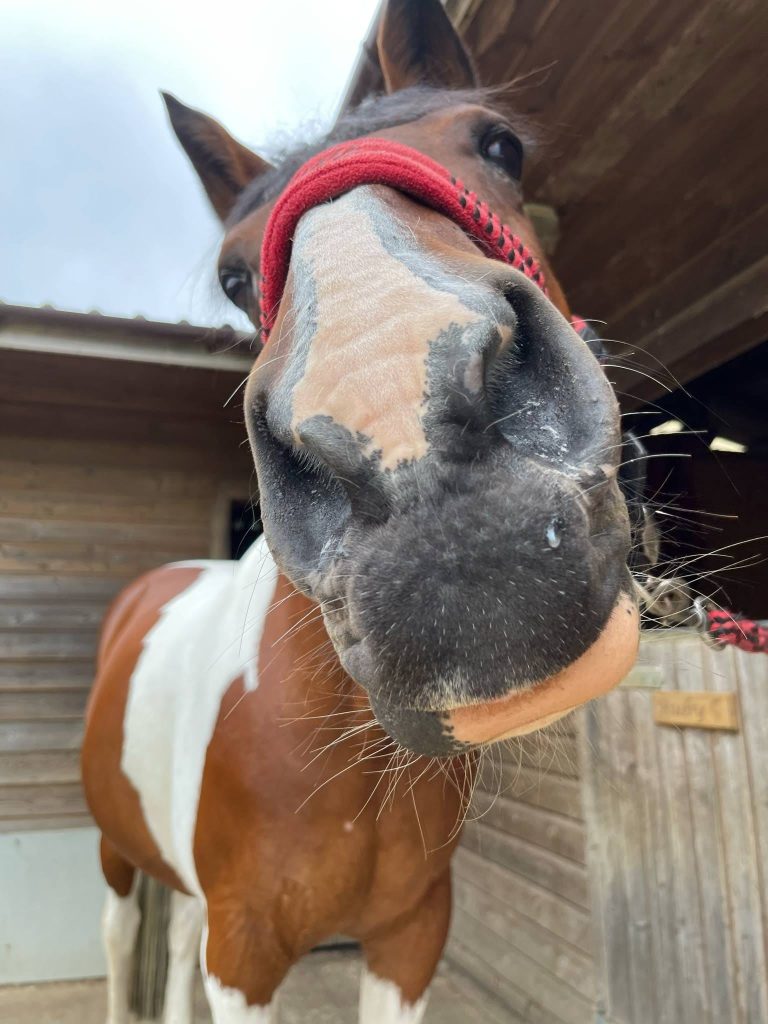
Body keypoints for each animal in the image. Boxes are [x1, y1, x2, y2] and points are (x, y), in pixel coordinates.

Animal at [81, 1, 640, 1021]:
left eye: (500, 146)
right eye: (233, 277)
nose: (425, 472)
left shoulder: (411, 940)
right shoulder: (244, 957)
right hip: (115, 849)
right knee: (123, 933)